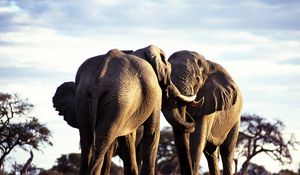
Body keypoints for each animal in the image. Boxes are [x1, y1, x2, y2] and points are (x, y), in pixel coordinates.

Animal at [52, 45, 196, 175]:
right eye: (170, 72)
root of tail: (98, 81)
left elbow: (127, 138)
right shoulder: (156, 94)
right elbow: (152, 132)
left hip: (85, 97)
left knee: (86, 140)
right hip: (119, 99)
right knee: (102, 141)